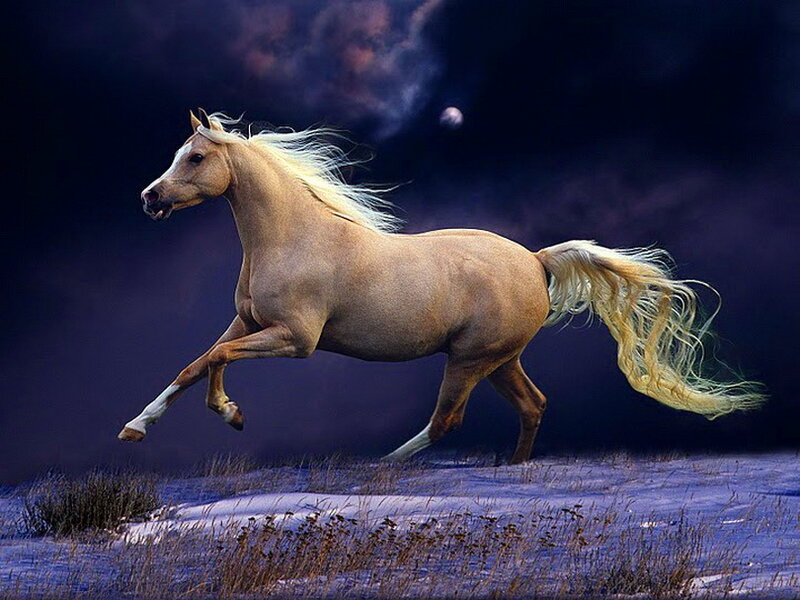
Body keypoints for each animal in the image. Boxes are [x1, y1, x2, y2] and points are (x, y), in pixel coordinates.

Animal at [118, 110, 765, 464]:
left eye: (195, 157)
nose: (149, 198)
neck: (293, 238)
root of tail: (536, 261)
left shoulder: (294, 339)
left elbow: (216, 360)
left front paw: (231, 415)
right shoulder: (248, 323)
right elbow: (195, 362)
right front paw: (136, 428)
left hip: (470, 358)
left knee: (446, 421)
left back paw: (379, 466)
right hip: (500, 359)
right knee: (533, 405)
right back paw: (511, 469)